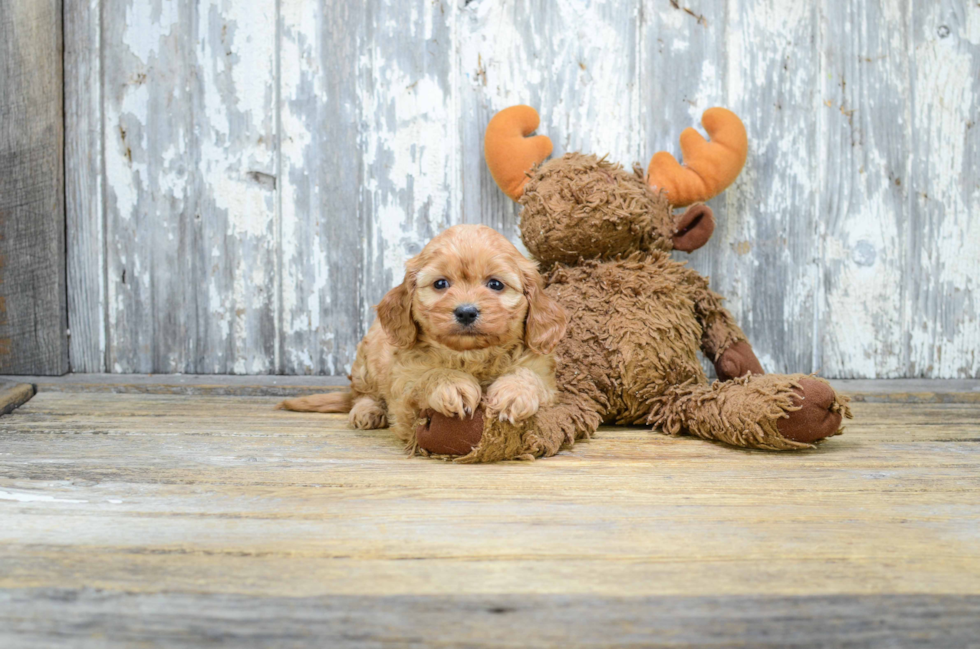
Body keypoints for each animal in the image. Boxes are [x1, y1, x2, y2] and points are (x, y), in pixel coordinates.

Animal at [276, 221, 568, 446]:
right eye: (440, 284)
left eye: (495, 284)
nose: (466, 312)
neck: (471, 356)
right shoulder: (404, 390)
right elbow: (427, 376)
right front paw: (452, 384)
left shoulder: (545, 376)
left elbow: (529, 376)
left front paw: (513, 394)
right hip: (366, 360)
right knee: (362, 394)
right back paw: (367, 411)